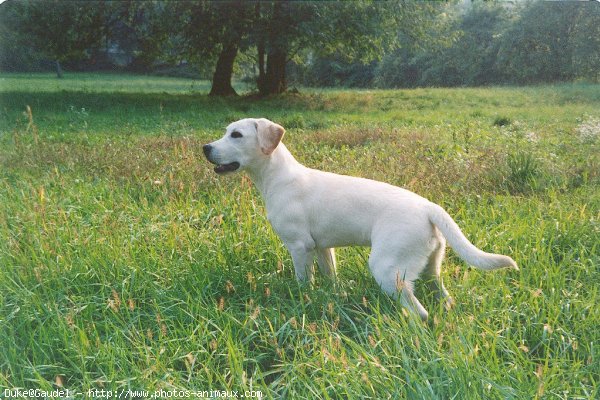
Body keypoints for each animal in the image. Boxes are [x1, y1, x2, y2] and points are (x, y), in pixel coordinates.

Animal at [203, 117, 516, 320]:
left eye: (237, 135)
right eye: (226, 132)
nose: (206, 147)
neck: (278, 177)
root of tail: (429, 207)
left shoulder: (299, 247)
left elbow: (304, 282)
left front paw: (303, 300)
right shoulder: (322, 248)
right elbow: (331, 277)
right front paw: (331, 296)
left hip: (388, 270)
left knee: (421, 313)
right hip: (431, 269)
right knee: (443, 297)